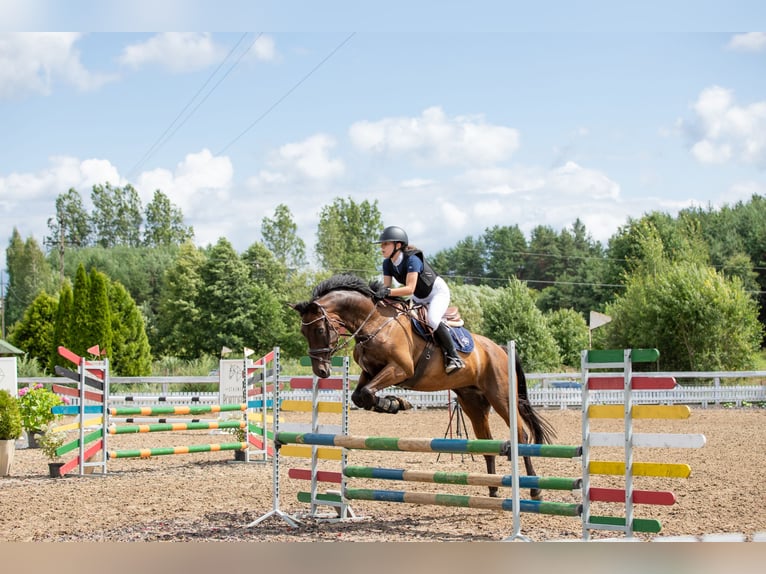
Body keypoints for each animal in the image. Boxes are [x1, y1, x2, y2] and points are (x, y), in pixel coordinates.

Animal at [292, 274, 556, 500]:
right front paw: (392, 404)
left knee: (521, 434)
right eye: (303, 331)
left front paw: (395, 403)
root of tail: (500, 348)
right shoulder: (370, 372)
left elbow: (366, 393)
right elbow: (360, 396)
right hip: (473, 402)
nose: (321, 371)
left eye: (319, 329)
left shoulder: (400, 369)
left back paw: (534, 490)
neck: (375, 322)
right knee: (487, 440)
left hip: (500, 396)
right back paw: (492, 489)